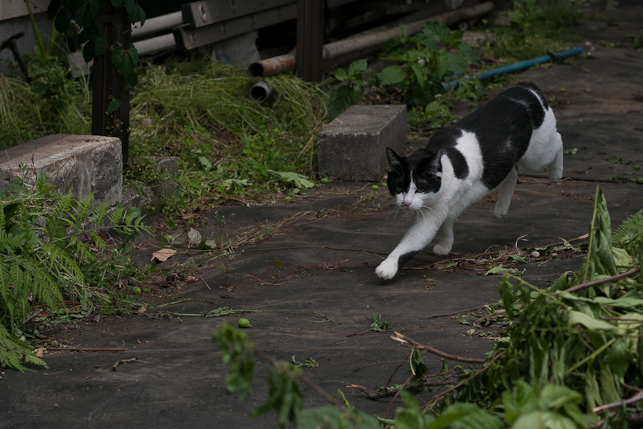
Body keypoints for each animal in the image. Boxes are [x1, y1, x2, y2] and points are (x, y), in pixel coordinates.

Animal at [378, 82, 564, 280]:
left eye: (420, 188)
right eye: (399, 187)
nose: (406, 203)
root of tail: (525, 87)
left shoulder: (431, 214)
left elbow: (411, 242)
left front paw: (388, 266)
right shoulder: (442, 206)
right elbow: (447, 222)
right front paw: (445, 245)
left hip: (537, 156)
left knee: (558, 139)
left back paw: (556, 173)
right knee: (512, 172)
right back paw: (501, 209)